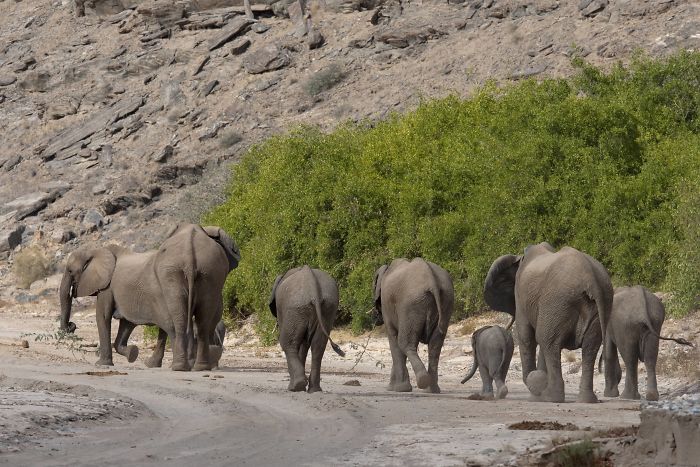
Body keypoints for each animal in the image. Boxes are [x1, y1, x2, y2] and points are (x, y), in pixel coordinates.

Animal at [60, 224, 240, 371]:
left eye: (69, 270)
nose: (71, 326)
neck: (97, 250)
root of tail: (191, 247)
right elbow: (126, 323)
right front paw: (132, 353)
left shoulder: (107, 286)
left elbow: (102, 316)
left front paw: (102, 364)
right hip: (210, 274)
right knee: (200, 322)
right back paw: (197, 366)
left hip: (170, 281)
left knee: (173, 325)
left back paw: (179, 366)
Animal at [373, 258, 454, 393]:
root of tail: (431, 279)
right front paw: (394, 388)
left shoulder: (387, 305)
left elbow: (393, 339)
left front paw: (398, 389)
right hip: (446, 300)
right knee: (435, 345)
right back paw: (431, 390)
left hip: (411, 304)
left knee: (404, 343)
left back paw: (422, 382)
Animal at [484, 242, 613, 403]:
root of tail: (592, 279)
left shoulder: (521, 296)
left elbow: (527, 337)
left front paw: (535, 389)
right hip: (599, 304)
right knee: (590, 346)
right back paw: (586, 400)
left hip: (557, 301)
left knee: (547, 341)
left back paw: (550, 397)